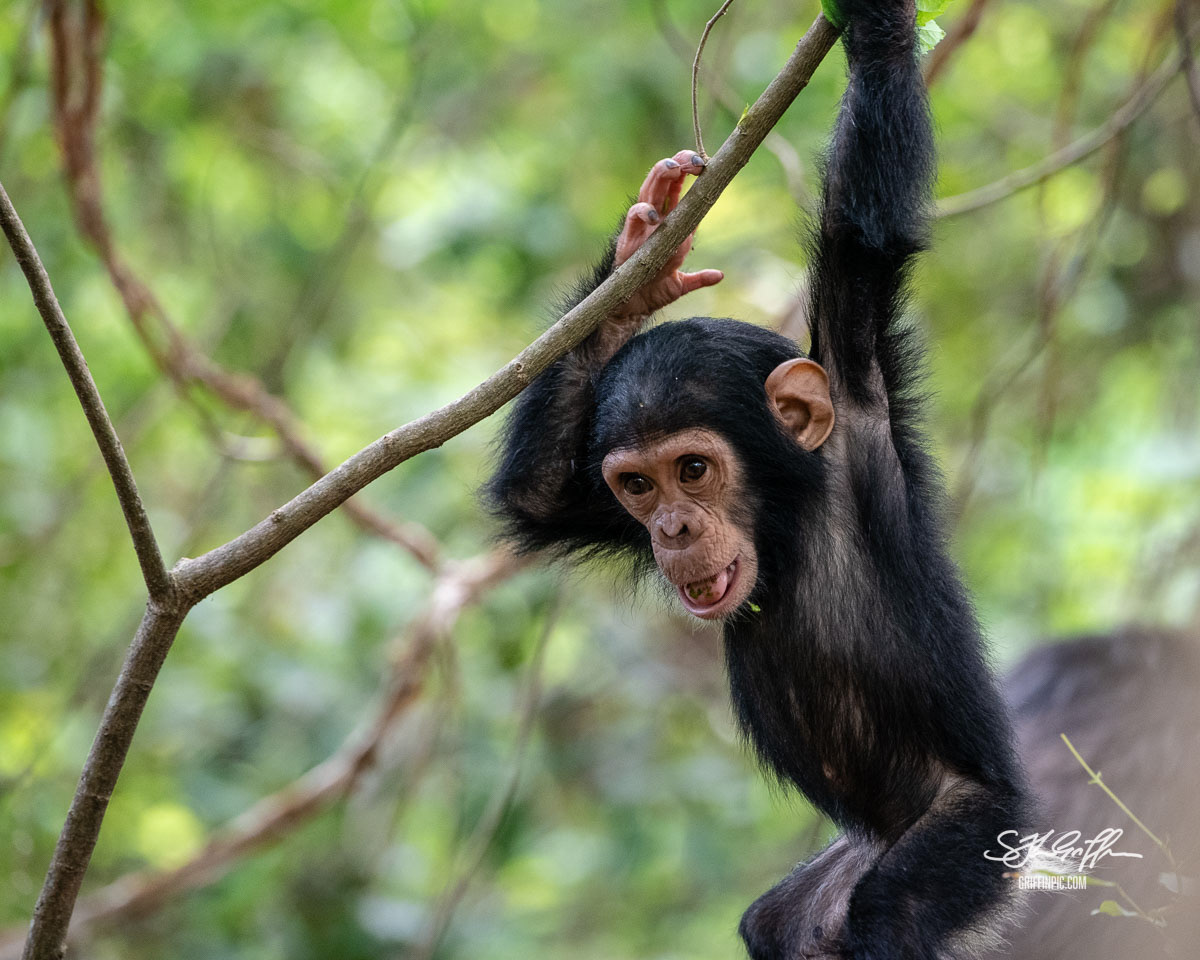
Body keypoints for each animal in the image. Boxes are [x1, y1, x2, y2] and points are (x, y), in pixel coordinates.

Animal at [485, 0, 1030, 956]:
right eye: (639, 488)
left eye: (694, 470)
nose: (672, 529)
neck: (791, 514)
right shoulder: (596, 496)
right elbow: (541, 496)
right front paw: (640, 265)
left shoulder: (855, 396)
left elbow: (864, 235)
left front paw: (874, 24)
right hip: (830, 879)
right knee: (772, 924)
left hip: (977, 839)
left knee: (896, 915)